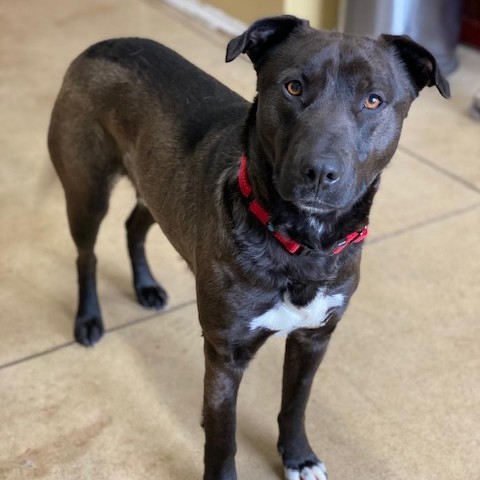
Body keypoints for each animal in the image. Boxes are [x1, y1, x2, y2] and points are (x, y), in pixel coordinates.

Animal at [47, 15, 448, 480]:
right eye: (293, 87)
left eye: (373, 100)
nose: (319, 172)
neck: (302, 248)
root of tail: (102, 44)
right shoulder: (226, 355)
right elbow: (223, 435)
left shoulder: (314, 338)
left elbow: (295, 404)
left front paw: (298, 457)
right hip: (87, 190)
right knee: (87, 256)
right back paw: (89, 319)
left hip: (156, 189)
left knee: (134, 226)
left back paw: (145, 287)